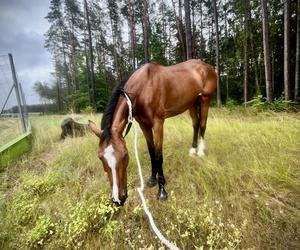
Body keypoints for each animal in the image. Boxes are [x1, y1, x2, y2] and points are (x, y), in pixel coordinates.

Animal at [88, 60, 217, 205]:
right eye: (100, 157)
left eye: (125, 155)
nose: (118, 199)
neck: (143, 88)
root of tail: (207, 66)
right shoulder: (144, 125)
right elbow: (151, 152)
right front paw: (152, 179)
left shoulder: (158, 123)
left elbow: (158, 155)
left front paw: (162, 191)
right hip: (192, 103)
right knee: (195, 124)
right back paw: (193, 150)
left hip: (205, 100)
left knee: (202, 125)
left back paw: (200, 151)